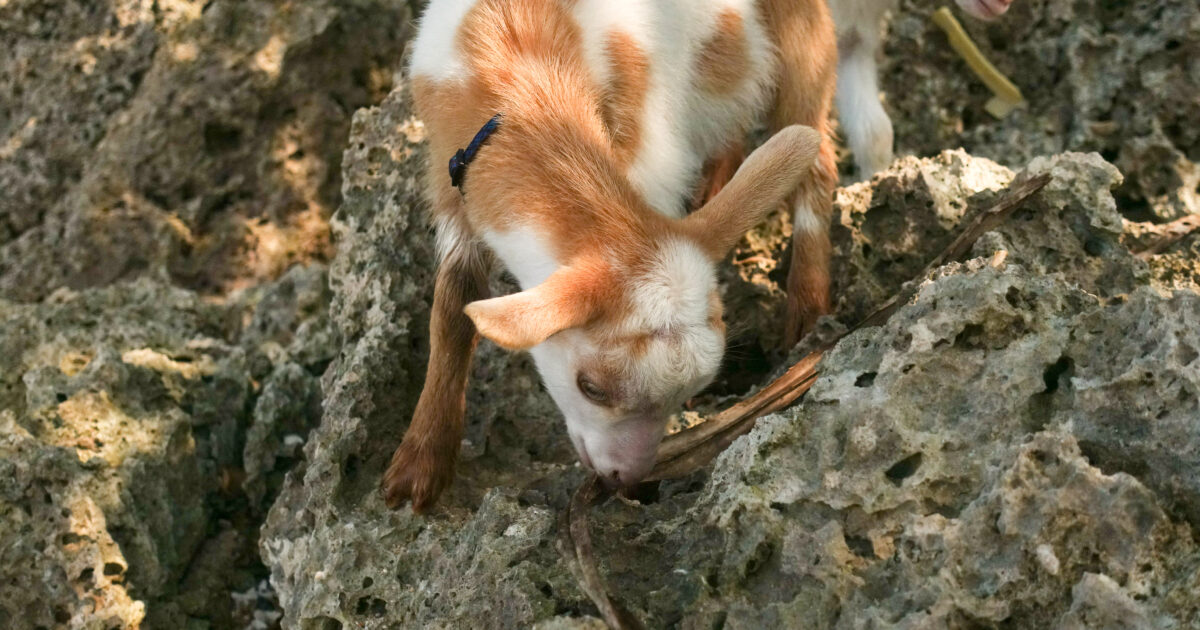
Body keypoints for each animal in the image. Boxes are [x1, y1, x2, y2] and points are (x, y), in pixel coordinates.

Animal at [384, 0, 835, 511]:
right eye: (592, 388)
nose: (625, 478)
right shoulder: (451, 187)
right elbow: (452, 311)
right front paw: (420, 466)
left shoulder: (650, 152)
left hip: (800, 42)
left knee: (816, 160)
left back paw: (808, 312)